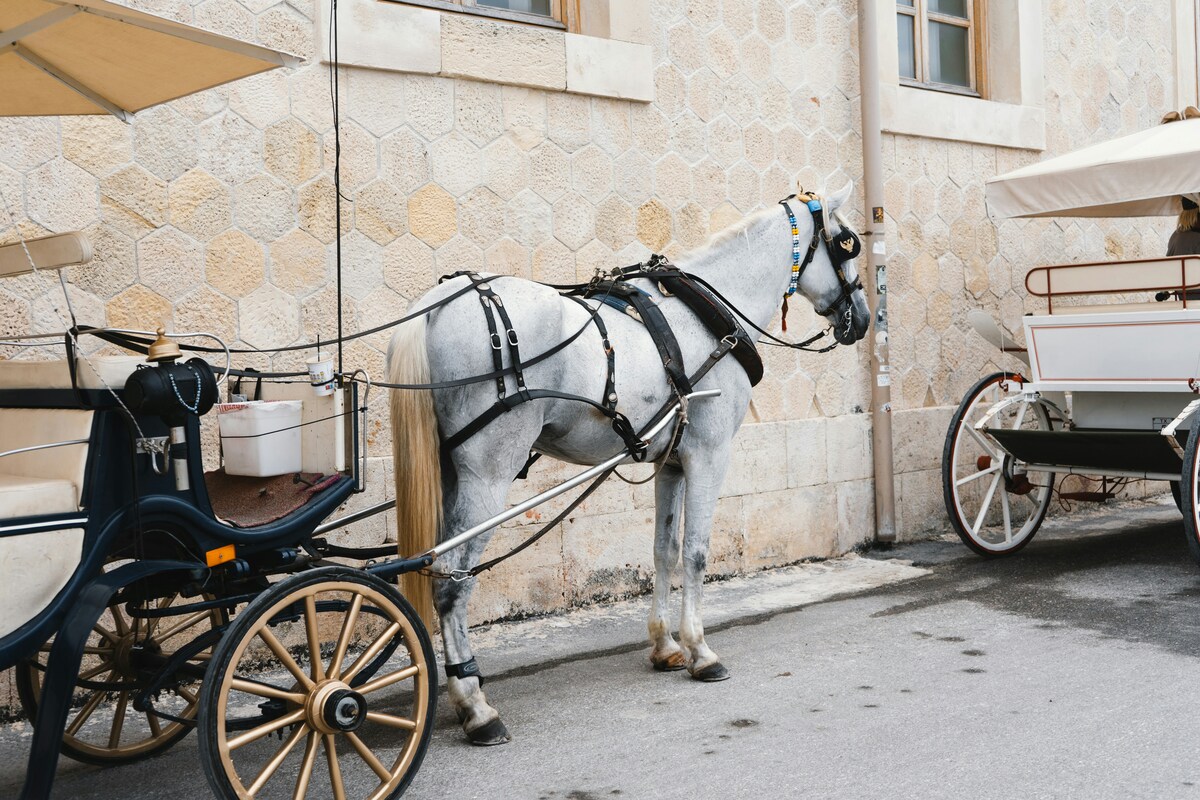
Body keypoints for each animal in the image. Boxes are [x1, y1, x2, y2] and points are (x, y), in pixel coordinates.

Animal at [387, 182, 871, 745]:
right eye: (846, 242)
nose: (862, 318)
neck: (709, 319)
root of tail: (437, 304)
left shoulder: (672, 463)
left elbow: (664, 550)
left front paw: (665, 646)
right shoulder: (709, 455)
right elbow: (696, 553)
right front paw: (700, 651)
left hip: (449, 473)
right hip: (486, 477)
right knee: (451, 582)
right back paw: (475, 706)